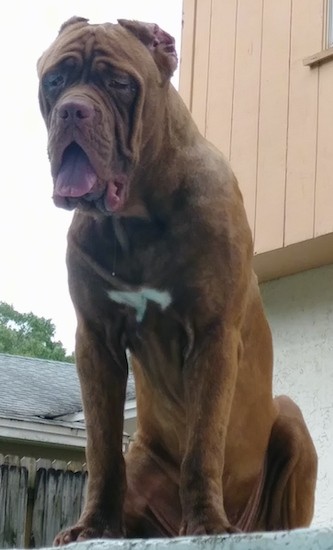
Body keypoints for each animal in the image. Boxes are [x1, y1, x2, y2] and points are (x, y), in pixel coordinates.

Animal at [37, 16, 316, 544]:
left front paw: (206, 523)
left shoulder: (212, 335)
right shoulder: (97, 341)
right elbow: (101, 448)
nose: (73, 111)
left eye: (120, 84)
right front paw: (92, 526)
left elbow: (203, 442)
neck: (136, 221)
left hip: (291, 419)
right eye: (54, 81)